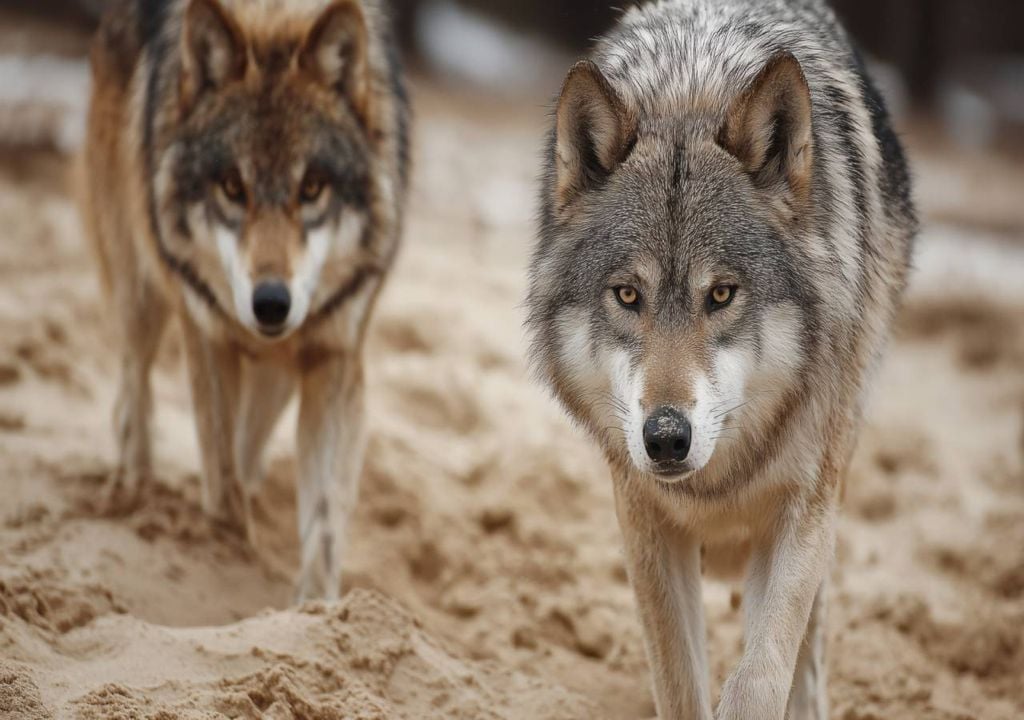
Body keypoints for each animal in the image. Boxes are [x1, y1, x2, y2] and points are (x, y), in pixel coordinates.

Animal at [78, 0, 408, 600]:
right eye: (233, 187)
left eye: (312, 187)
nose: (271, 303)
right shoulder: (206, 334)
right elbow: (222, 478)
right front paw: (228, 556)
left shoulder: (334, 353)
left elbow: (324, 518)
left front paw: (316, 607)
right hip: (140, 289)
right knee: (133, 391)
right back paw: (132, 493)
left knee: (252, 433)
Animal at [527, 0, 916, 717]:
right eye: (628, 294)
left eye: (722, 294)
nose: (665, 438)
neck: (690, 91)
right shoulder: (643, 519)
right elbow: (680, 680)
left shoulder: (801, 509)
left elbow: (761, 675)